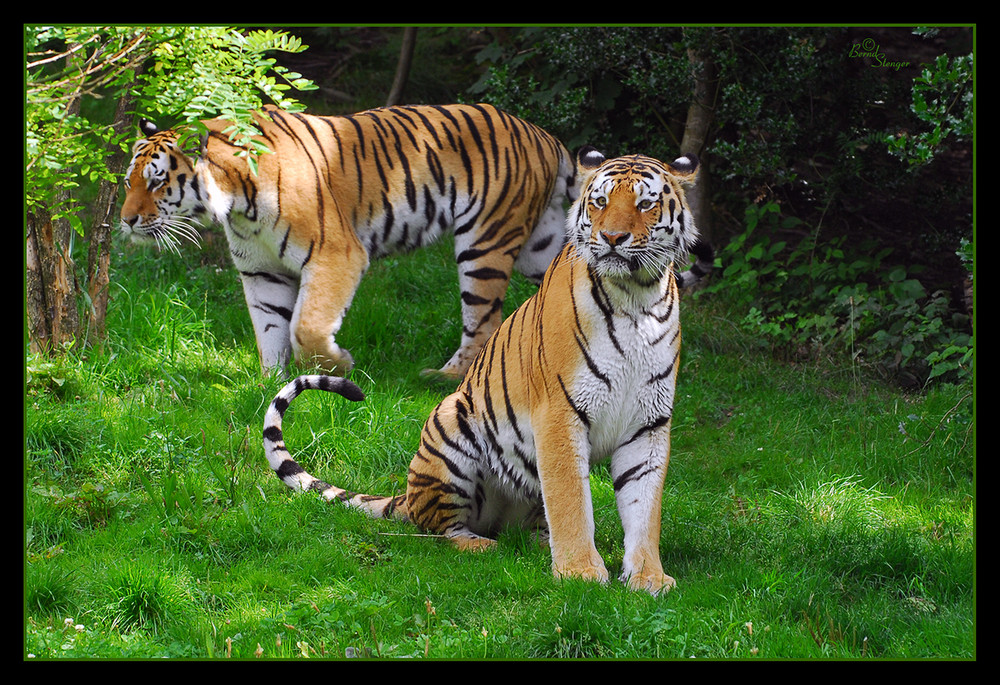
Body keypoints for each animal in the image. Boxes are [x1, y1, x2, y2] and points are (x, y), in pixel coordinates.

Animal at [121, 103, 580, 376]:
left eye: (157, 181)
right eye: (128, 182)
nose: (125, 221)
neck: (235, 204)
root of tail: (545, 136)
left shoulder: (335, 254)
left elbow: (305, 326)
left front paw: (338, 367)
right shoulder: (261, 271)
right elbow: (269, 329)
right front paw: (271, 384)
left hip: (485, 241)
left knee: (483, 323)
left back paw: (444, 378)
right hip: (538, 247)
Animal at [258, 146, 712, 592]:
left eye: (645, 204)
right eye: (600, 202)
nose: (613, 238)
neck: (637, 299)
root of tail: (407, 495)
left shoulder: (648, 423)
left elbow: (644, 507)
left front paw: (648, 576)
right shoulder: (560, 414)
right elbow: (571, 499)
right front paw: (580, 573)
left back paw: (536, 544)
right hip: (451, 423)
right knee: (439, 530)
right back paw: (481, 546)